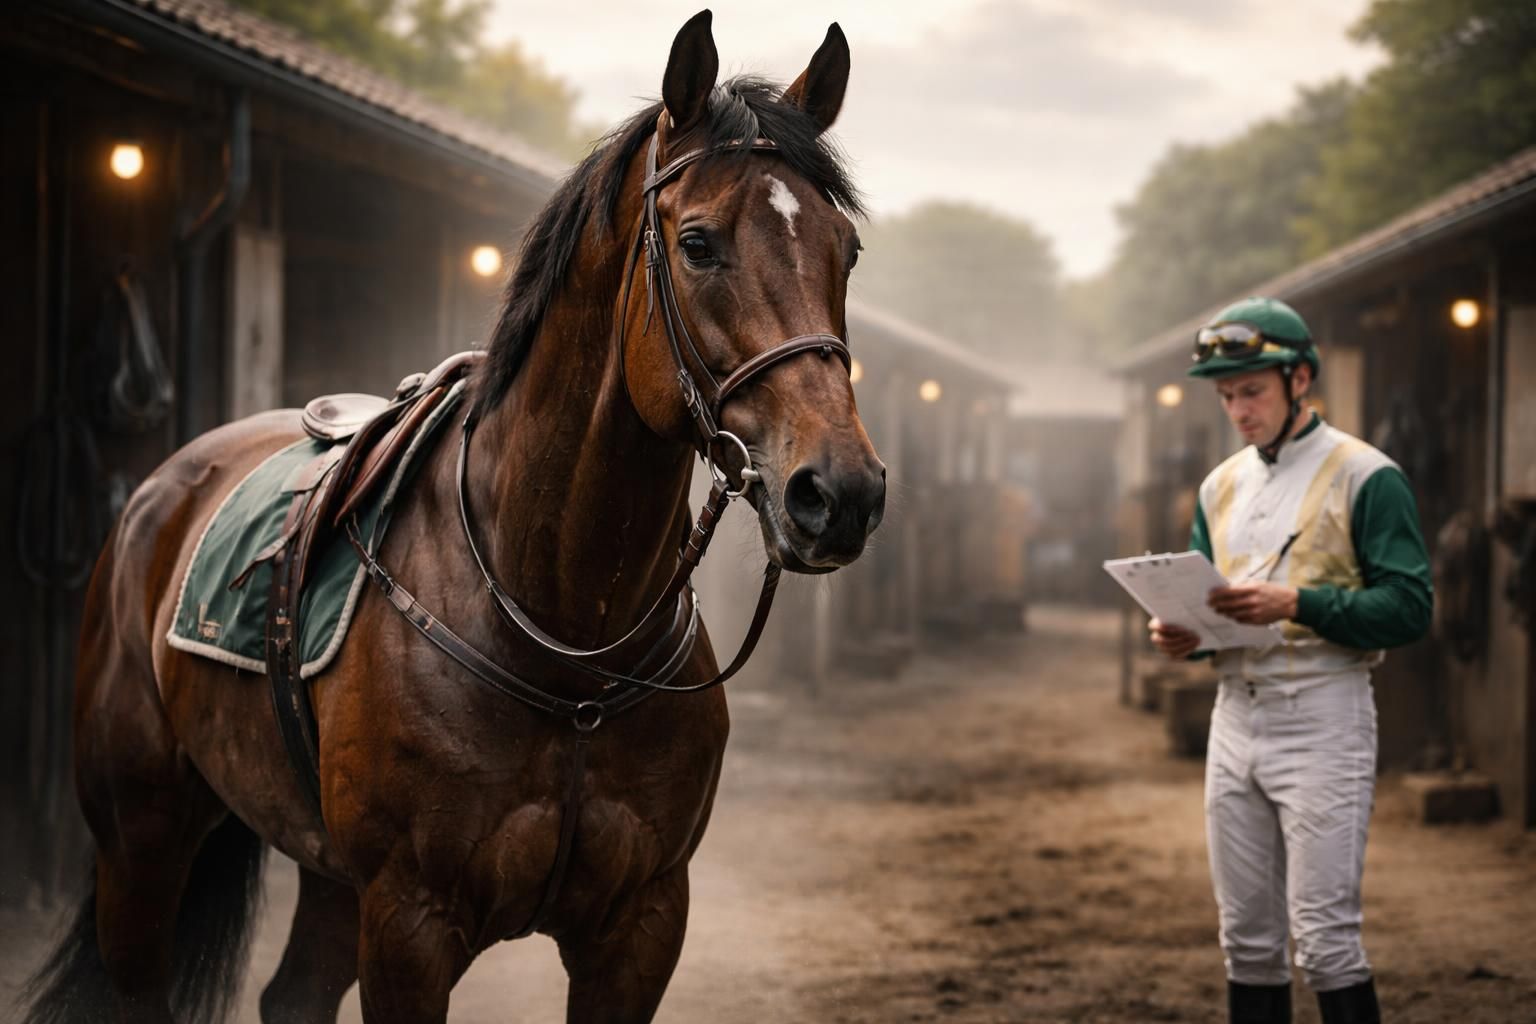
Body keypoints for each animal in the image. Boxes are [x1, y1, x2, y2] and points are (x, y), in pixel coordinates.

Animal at [22, 11, 884, 1023]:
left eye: (845, 251)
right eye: (700, 244)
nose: (840, 491)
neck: (564, 638)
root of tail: (159, 493)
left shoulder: (640, 927)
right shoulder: (412, 924)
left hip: (325, 879)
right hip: (141, 845)